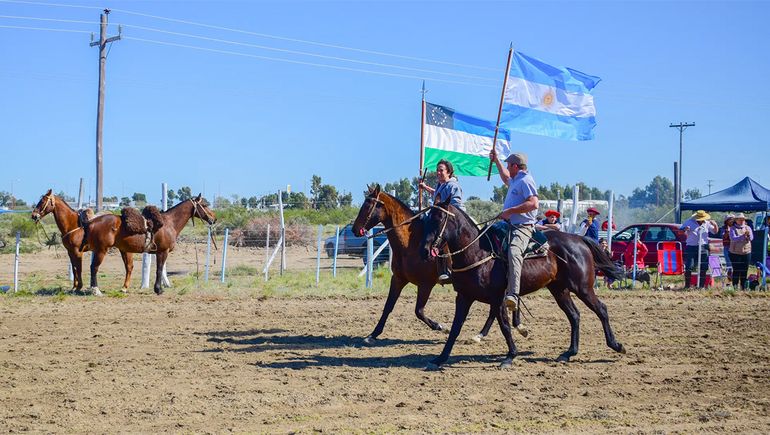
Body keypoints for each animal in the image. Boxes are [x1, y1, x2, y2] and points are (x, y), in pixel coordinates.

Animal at [85, 195, 214, 294]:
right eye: (205, 205)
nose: (214, 218)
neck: (169, 223)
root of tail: (92, 221)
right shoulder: (162, 252)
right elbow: (159, 269)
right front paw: (158, 290)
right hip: (101, 250)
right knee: (94, 267)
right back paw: (96, 290)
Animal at [350, 186, 496, 346]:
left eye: (368, 205)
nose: (354, 229)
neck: (410, 243)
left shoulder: (426, 284)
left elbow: (418, 311)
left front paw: (439, 326)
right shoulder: (398, 279)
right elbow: (388, 306)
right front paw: (373, 335)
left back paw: (481, 334)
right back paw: (481, 334)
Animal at [420, 199, 624, 370]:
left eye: (439, 219)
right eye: (427, 219)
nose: (425, 249)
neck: (477, 253)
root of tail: (580, 239)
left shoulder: (498, 298)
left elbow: (504, 325)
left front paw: (510, 356)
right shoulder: (464, 297)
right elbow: (455, 328)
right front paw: (440, 358)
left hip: (583, 288)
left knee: (601, 309)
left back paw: (616, 345)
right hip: (560, 289)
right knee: (574, 315)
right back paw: (568, 353)